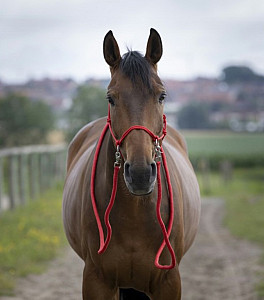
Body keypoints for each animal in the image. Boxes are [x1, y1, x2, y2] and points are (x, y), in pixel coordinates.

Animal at [63, 28, 200, 300]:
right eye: (111, 98)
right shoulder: (96, 281)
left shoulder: (168, 281)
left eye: (162, 95)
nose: (140, 174)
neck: (134, 212)